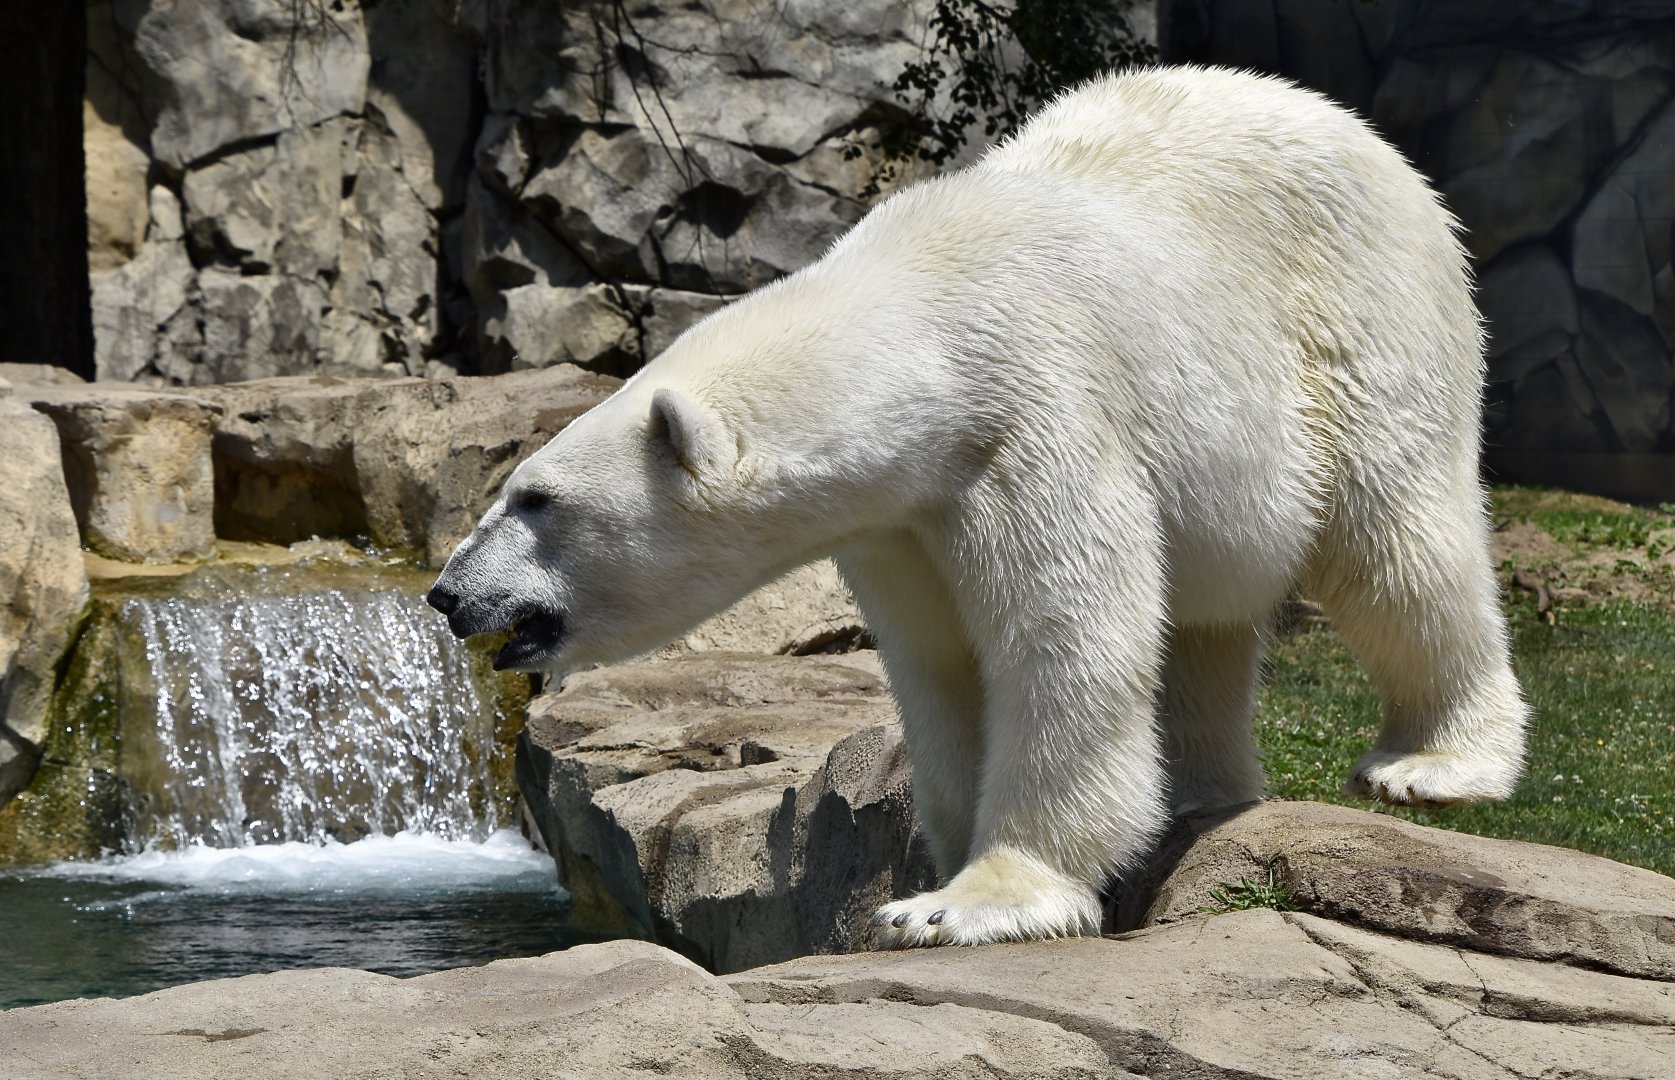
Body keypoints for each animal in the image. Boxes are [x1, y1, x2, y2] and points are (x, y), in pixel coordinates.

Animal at [428, 65, 1529, 948]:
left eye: (535, 497)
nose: (447, 595)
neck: (923, 323)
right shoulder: (902, 518)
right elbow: (941, 660)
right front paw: (933, 865)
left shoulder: (1032, 418)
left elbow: (1062, 638)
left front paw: (968, 903)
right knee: (1210, 614)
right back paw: (1200, 791)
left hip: (1363, 322)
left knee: (1395, 545)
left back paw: (1432, 763)